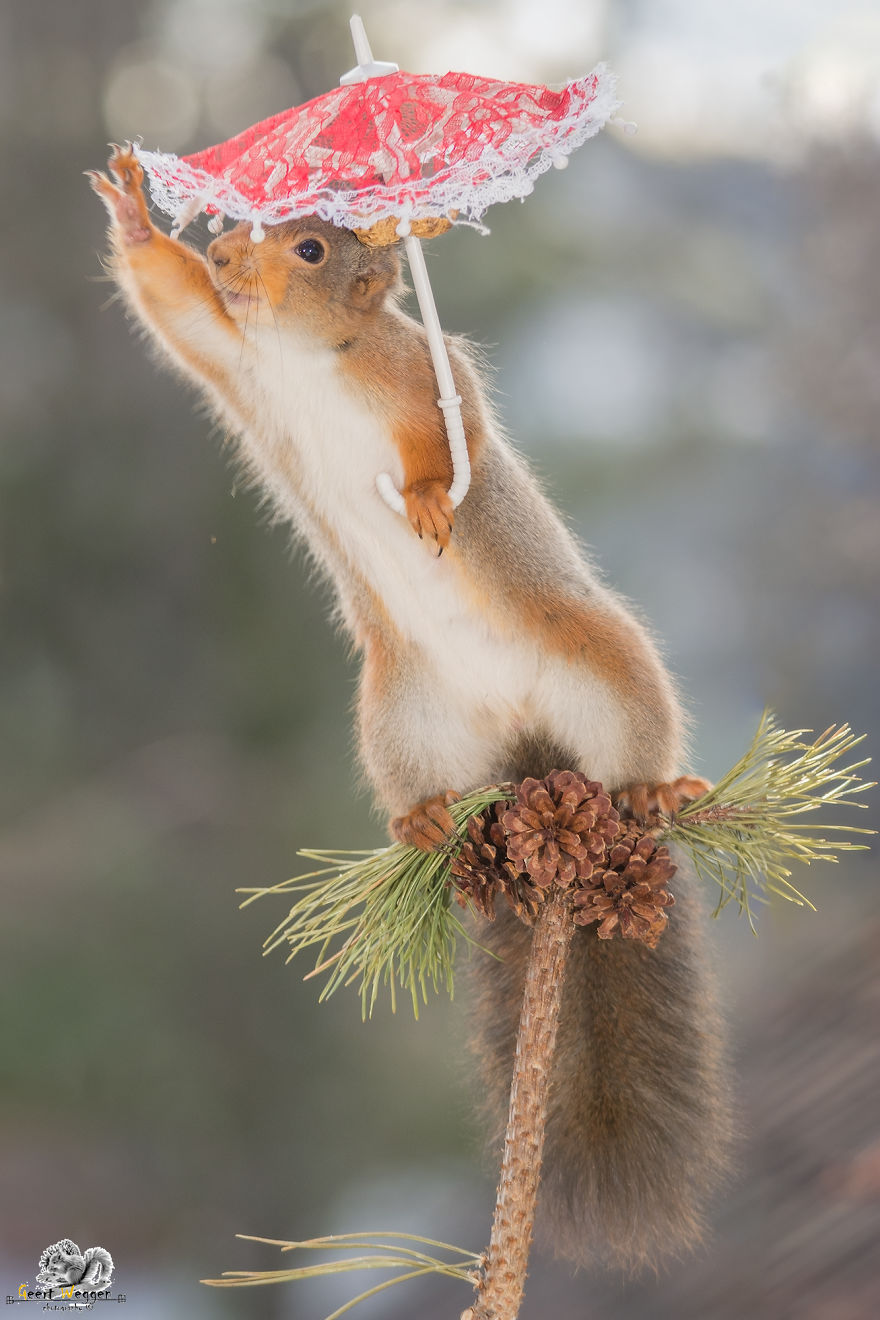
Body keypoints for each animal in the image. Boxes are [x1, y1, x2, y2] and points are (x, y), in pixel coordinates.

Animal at [89, 144, 732, 1272]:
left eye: (311, 246)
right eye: (240, 222)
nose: (225, 251)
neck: (306, 358)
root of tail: (531, 755)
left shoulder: (420, 374)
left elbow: (452, 423)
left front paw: (433, 498)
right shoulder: (232, 355)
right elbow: (179, 310)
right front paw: (135, 216)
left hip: (599, 660)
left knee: (630, 737)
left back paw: (652, 787)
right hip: (398, 712)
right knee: (426, 787)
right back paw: (425, 819)